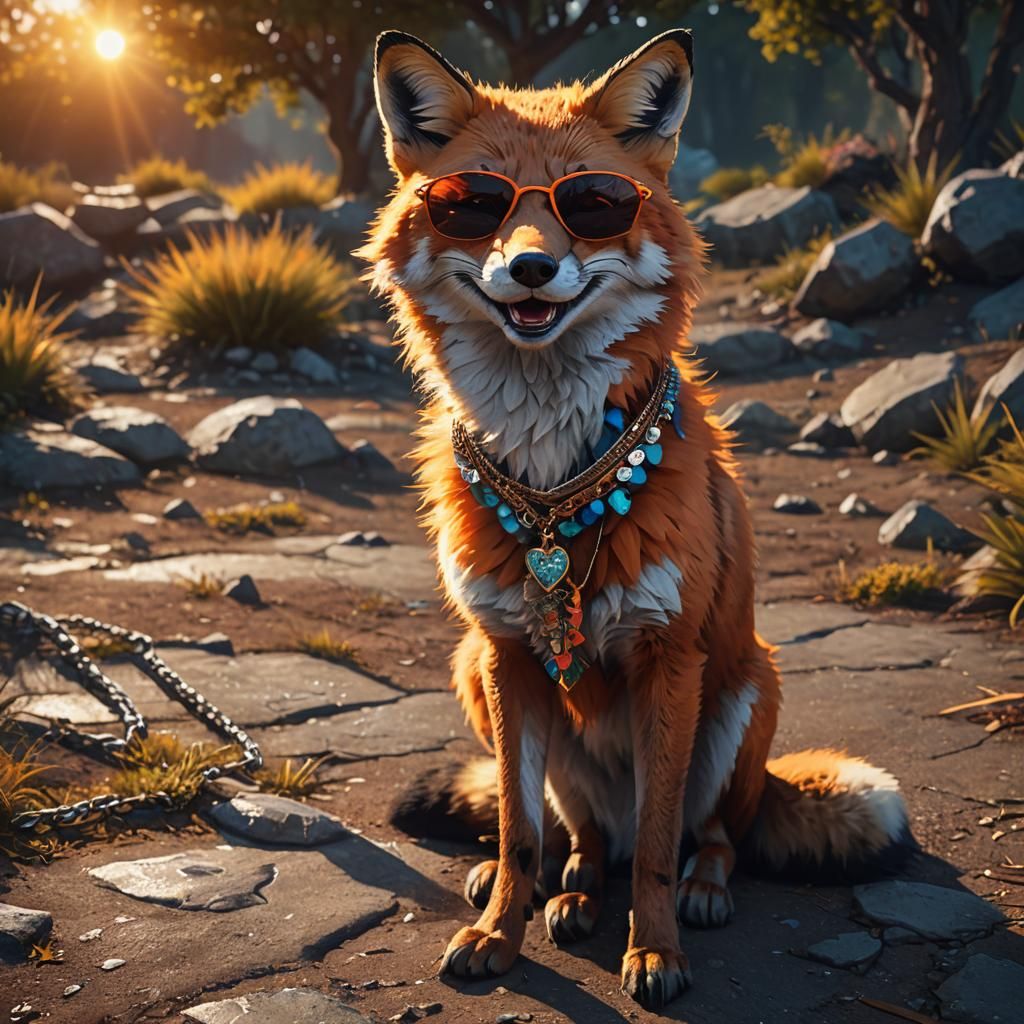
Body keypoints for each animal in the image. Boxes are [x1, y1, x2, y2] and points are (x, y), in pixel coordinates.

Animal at [359, 28, 915, 1011]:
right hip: (485, 685)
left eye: (595, 203)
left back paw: (700, 893)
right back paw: (572, 891)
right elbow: (516, 833)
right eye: (473, 205)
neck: (554, 486)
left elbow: (657, 847)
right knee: (576, 837)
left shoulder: (668, 657)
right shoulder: (504, 654)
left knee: (707, 839)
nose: (532, 268)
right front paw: (498, 933)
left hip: (742, 700)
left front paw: (654, 952)